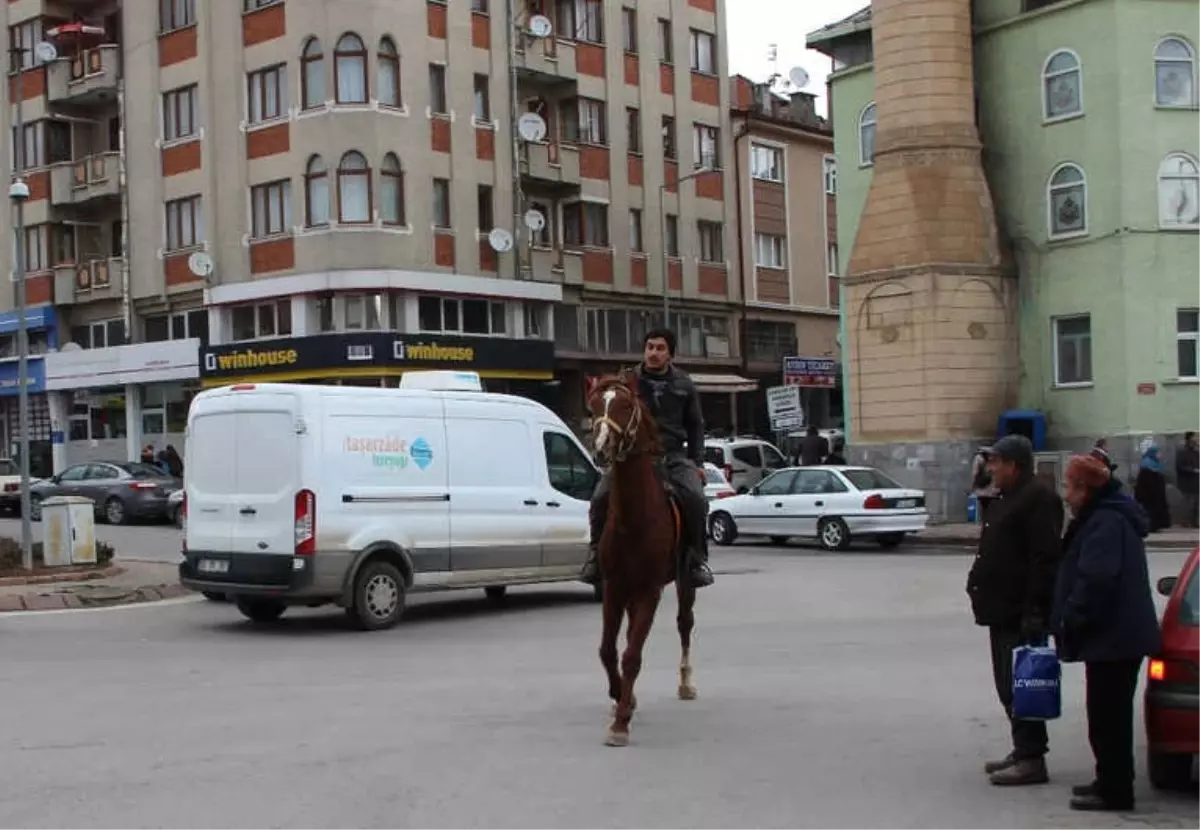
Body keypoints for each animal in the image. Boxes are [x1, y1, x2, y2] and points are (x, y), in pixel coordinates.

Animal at [583, 371, 696, 748]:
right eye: (593, 406)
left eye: (625, 405)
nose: (601, 446)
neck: (634, 520)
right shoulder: (614, 587)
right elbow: (608, 649)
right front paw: (622, 698)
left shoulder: (650, 590)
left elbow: (632, 654)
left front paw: (620, 723)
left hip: (686, 581)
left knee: (685, 624)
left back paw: (686, 682)